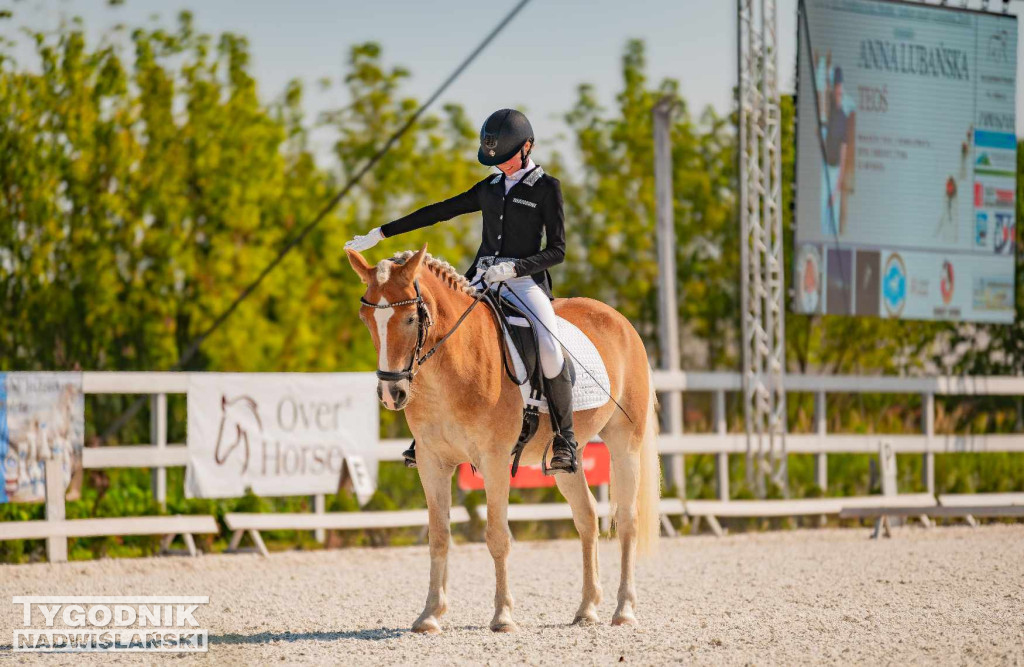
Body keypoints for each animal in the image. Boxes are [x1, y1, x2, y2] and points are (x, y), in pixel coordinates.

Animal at [348, 243, 659, 631]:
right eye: (365, 319)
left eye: (409, 319)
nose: (392, 394)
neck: (452, 366)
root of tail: (620, 321)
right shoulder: (432, 463)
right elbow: (439, 536)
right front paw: (430, 614)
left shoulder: (494, 461)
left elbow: (498, 537)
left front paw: (503, 616)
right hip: (564, 457)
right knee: (587, 517)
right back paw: (587, 609)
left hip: (624, 442)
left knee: (628, 520)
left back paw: (624, 610)